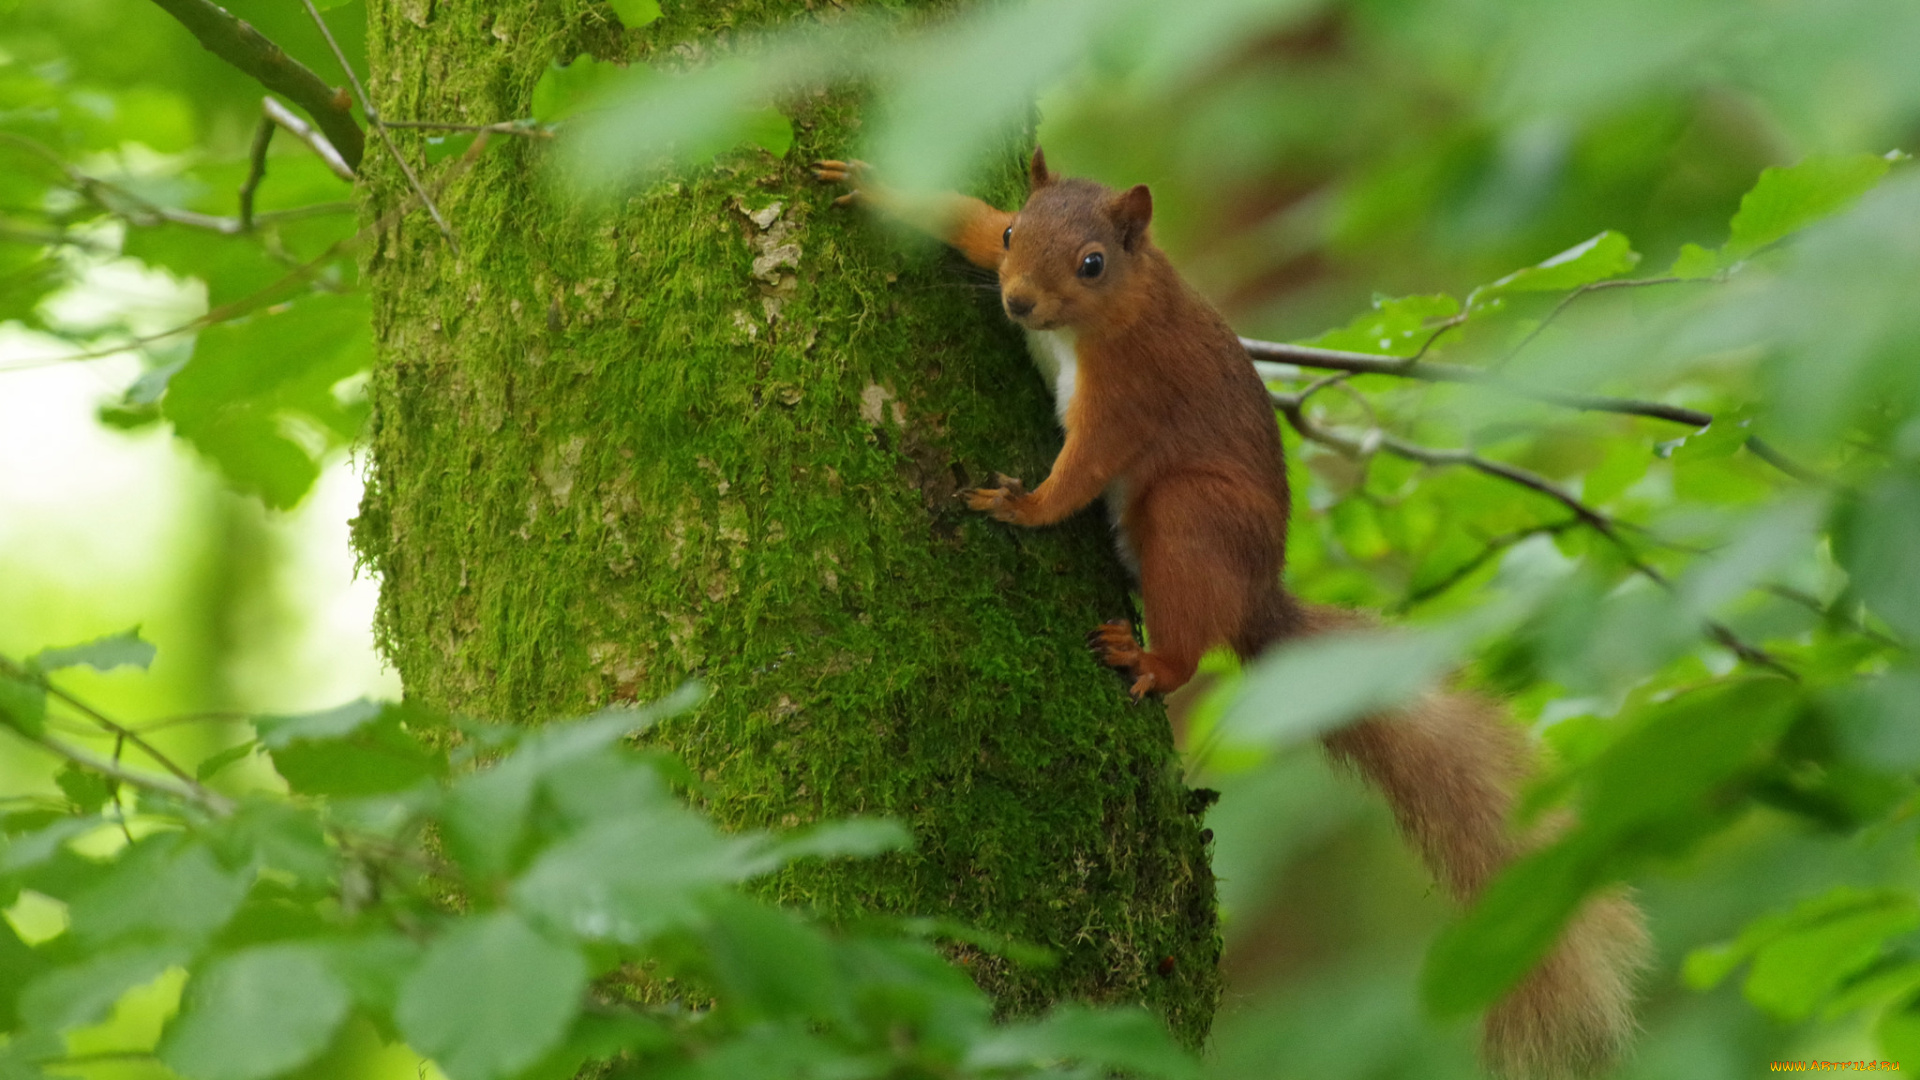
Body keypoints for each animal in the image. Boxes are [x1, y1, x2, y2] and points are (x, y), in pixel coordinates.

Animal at [810, 147, 1651, 1068]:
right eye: (1012, 236)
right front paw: (875, 187)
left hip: (1189, 518)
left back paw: (1149, 658)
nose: (1018, 302)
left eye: (1093, 263)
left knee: (1187, 639)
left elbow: (1080, 472)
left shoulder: (1131, 394)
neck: (1116, 309)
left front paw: (1021, 506)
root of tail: (1254, 600)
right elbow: (958, 216)